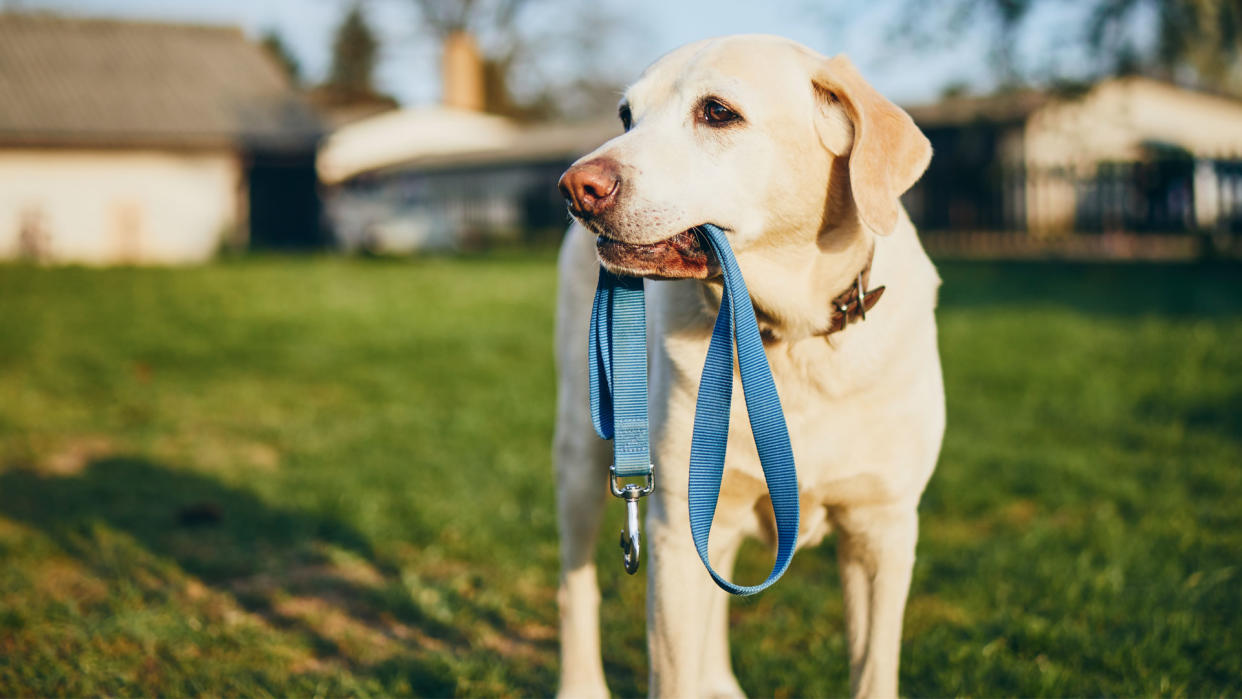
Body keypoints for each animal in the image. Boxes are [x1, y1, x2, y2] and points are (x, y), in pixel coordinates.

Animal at [553, 34, 938, 699]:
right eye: (627, 116)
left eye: (717, 112)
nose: (576, 187)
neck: (787, 340)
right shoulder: (675, 530)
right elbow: (672, 673)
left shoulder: (882, 530)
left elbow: (874, 671)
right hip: (582, 453)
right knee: (575, 588)